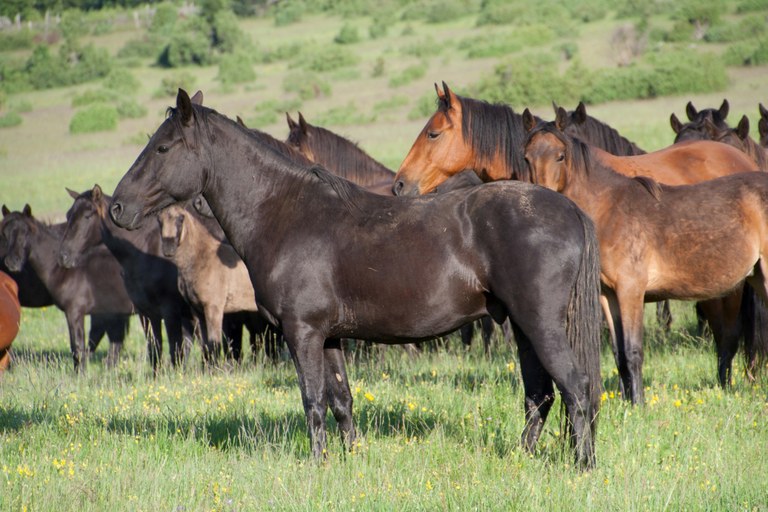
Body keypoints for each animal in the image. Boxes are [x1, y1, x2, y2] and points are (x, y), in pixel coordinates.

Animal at [1, 205, 135, 372]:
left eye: (25, 233)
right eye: (4, 233)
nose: (12, 262)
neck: (64, 270)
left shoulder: (74, 312)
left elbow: (77, 346)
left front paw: (80, 374)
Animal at [57, 186, 195, 374]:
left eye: (87, 216)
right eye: (68, 215)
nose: (64, 257)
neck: (144, 251)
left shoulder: (170, 310)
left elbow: (175, 348)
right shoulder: (147, 312)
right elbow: (154, 348)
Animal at [158, 204, 280, 364]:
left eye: (181, 218)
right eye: (159, 221)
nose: (168, 248)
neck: (203, 258)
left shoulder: (213, 308)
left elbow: (214, 345)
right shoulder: (198, 311)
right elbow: (206, 347)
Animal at [524, 107, 768, 404]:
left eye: (560, 156)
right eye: (527, 157)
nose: (542, 200)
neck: (611, 209)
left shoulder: (631, 291)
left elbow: (633, 351)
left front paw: (638, 403)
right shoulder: (609, 296)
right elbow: (618, 353)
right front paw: (627, 401)